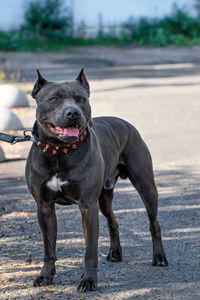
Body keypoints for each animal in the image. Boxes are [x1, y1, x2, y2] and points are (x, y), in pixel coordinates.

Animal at [25, 69, 168, 292]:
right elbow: (49, 248)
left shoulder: (88, 206)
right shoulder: (44, 207)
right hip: (104, 198)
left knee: (154, 223)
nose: (73, 113)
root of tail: (126, 123)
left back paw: (159, 257)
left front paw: (89, 280)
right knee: (112, 221)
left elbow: (90, 249)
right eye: (54, 98)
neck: (59, 152)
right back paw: (115, 253)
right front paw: (45, 276)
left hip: (146, 187)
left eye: (81, 99)